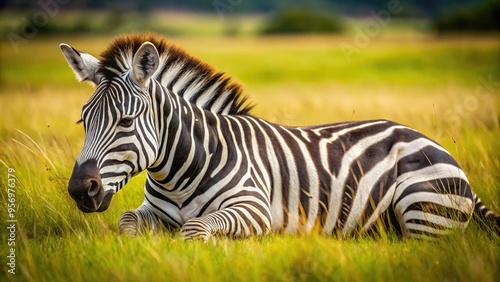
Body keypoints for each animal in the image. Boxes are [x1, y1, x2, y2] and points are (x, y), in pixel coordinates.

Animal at [59, 32, 500, 240]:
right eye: (83, 122)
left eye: (125, 122)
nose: (81, 190)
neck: (182, 170)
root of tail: (425, 136)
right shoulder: (150, 212)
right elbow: (127, 223)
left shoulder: (254, 208)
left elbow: (195, 230)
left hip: (423, 205)